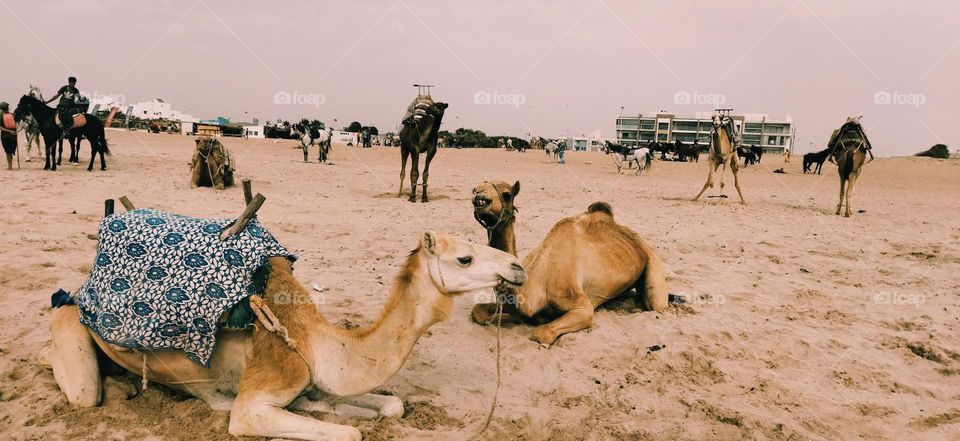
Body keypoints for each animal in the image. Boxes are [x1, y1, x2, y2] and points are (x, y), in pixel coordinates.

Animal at [47, 193, 524, 440]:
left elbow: (392, 404)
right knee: (81, 388)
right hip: (71, 327)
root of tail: (78, 289)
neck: (317, 341)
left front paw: (334, 406)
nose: (517, 268)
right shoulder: (259, 396)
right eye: (464, 257)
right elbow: (348, 433)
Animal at [470, 180, 668, 346]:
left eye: (507, 194)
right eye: (478, 186)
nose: (478, 192)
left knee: (657, 306)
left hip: (653, 263)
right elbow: (478, 312)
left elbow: (540, 333)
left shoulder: (581, 305)